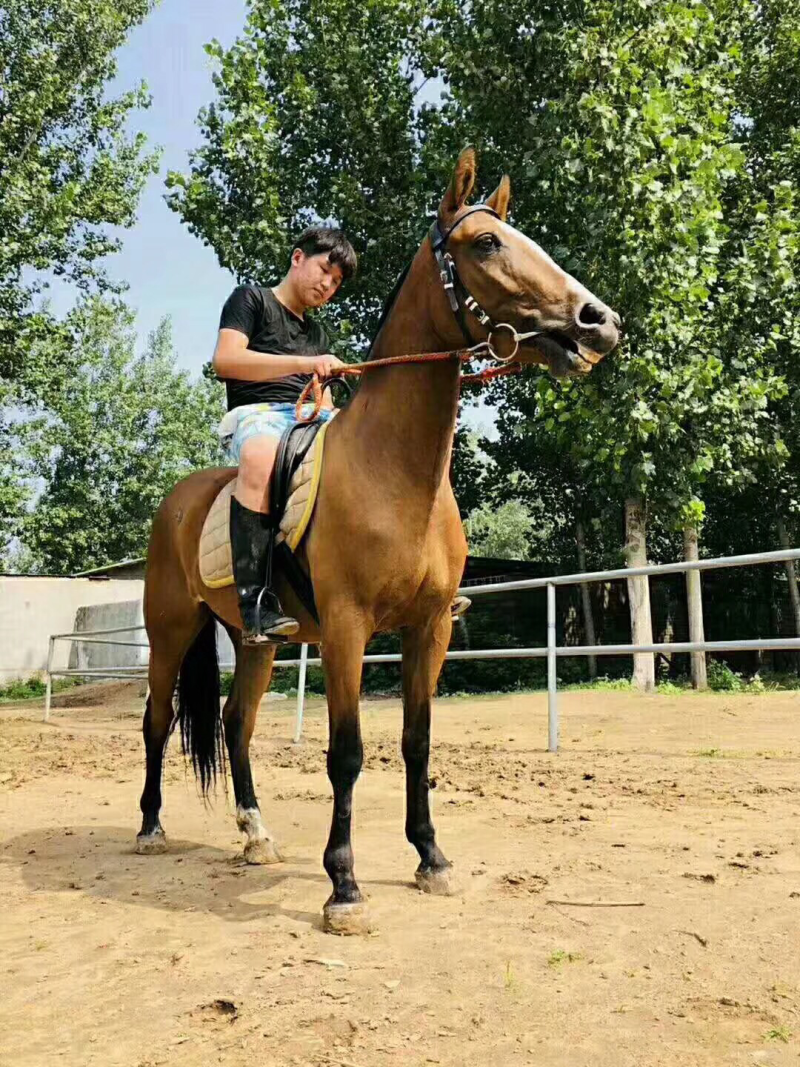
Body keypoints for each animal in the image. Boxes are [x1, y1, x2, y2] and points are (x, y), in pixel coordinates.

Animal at [137, 147, 620, 934]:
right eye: (486, 244)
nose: (597, 322)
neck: (395, 474)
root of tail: (177, 502)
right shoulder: (346, 630)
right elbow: (347, 752)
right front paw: (344, 887)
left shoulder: (429, 630)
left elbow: (416, 743)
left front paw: (431, 858)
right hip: (172, 631)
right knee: (155, 722)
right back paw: (149, 827)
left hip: (255, 641)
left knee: (237, 725)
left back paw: (256, 836)